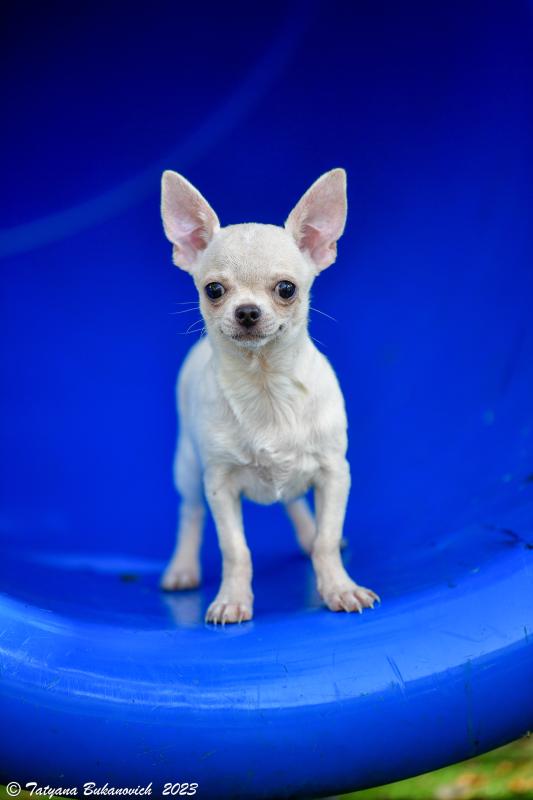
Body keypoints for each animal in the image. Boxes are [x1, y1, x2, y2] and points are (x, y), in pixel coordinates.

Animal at [160, 168, 379, 623]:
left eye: (286, 289)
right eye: (213, 290)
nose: (246, 311)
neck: (265, 386)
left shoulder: (335, 472)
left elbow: (327, 539)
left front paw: (339, 588)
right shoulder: (219, 485)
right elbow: (234, 548)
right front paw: (232, 599)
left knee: (294, 502)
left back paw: (308, 534)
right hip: (187, 466)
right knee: (190, 514)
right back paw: (182, 568)